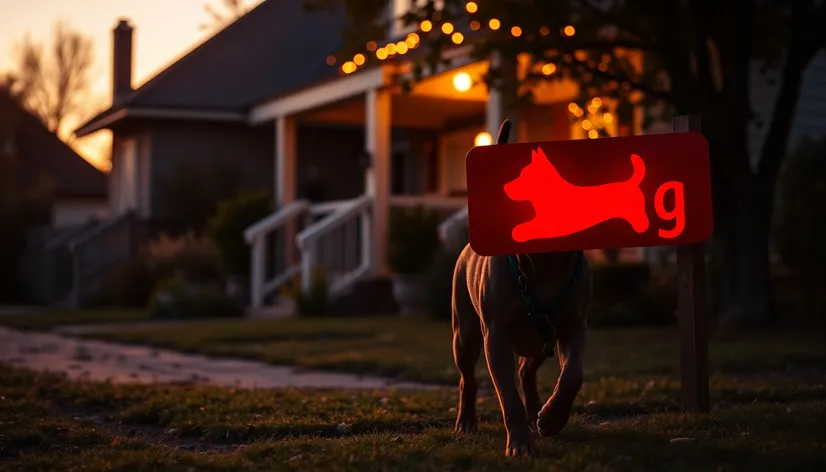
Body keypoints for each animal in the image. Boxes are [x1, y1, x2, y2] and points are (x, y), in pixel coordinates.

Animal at [450, 121, 592, 458]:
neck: (543, 266)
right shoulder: (496, 336)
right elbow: (507, 396)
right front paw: (520, 443)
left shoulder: (573, 326)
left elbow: (573, 374)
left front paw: (553, 418)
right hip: (465, 334)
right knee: (467, 379)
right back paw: (466, 421)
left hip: (541, 340)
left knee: (528, 371)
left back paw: (537, 412)